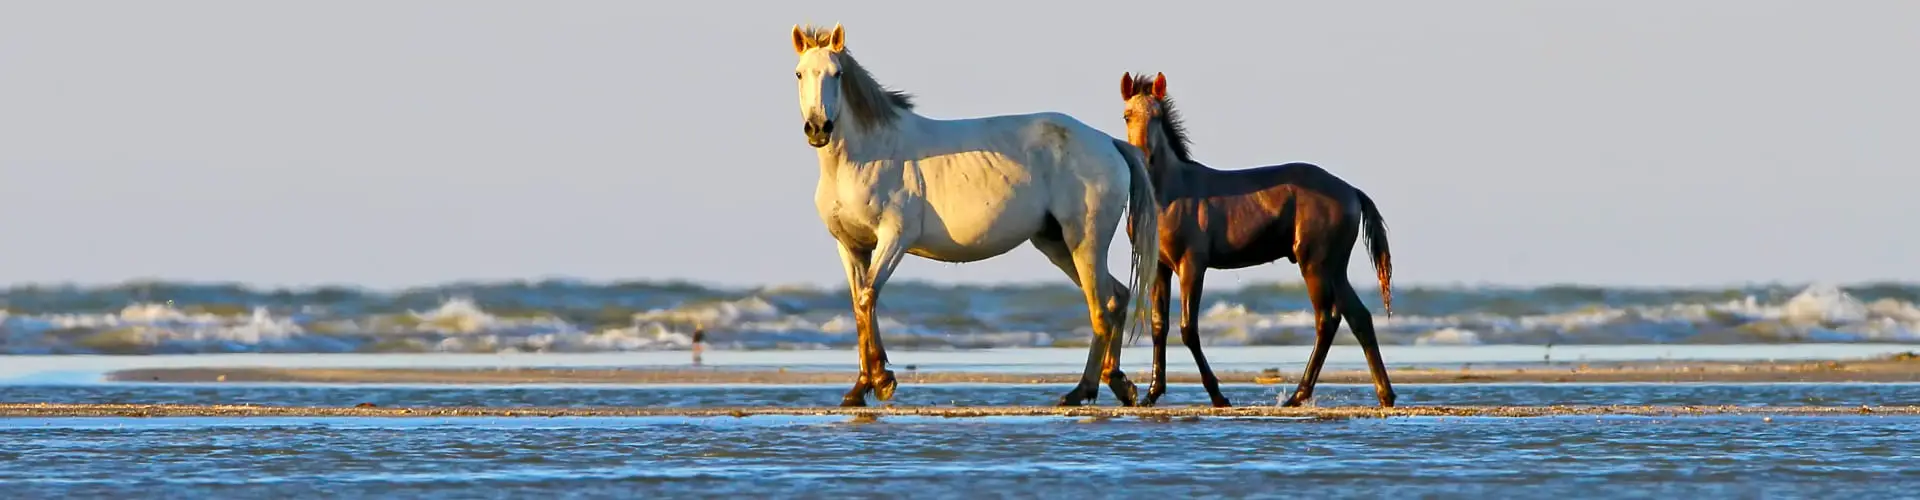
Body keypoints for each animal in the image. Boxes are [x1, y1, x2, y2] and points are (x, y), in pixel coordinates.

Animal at [788, 24, 1162, 407]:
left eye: (837, 73)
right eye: (799, 73)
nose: (818, 128)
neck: (865, 156)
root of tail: (1109, 142)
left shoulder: (894, 238)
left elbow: (868, 298)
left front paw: (881, 381)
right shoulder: (851, 246)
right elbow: (860, 303)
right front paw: (861, 387)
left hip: (1084, 242)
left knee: (1100, 309)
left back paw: (1080, 391)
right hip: (1056, 244)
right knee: (1115, 297)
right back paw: (1118, 383)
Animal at [1119, 72, 1398, 408]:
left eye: (1157, 116)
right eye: (1127, 115)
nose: (1143, 159)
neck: (1170, 195)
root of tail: (1351, 191)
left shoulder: (1192, 265)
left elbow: (1188, 329)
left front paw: (1218, 395)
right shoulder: (1160, 266)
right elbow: (1160, 326)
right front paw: (1150, 393)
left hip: (1315, 264)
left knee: (1326, 320)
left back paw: (1297, 396)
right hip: (1334, 267)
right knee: (1358, 317)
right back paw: (1384, 395)